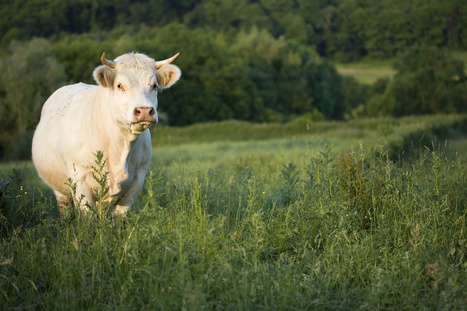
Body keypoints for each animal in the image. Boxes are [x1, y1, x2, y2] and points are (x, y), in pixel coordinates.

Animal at [31, 51, 181, 217]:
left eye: (154, 85)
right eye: (119, 85)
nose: (144, 111)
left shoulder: (137, 181)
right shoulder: (80, 181)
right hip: (60, 190)